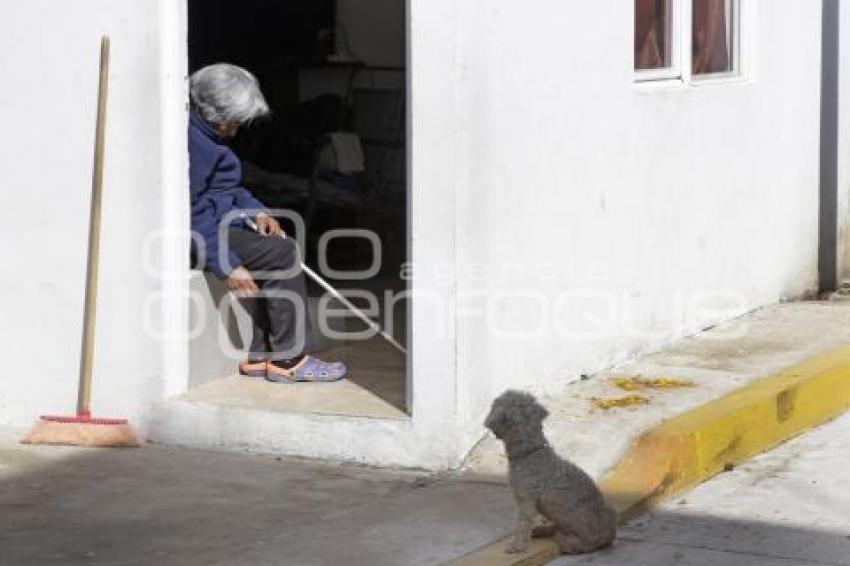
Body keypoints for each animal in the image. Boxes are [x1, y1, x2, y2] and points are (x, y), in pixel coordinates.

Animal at [484, 392, 616, 556]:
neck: (530, 452)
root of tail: (610, 536)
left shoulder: (526, 501)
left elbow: (521, 525)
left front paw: (517, 546)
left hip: (576, 541)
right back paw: (541, 530)